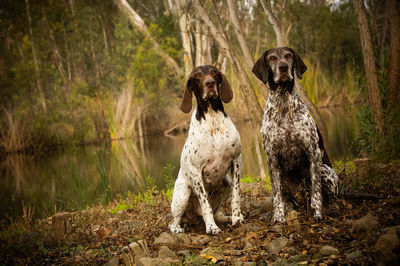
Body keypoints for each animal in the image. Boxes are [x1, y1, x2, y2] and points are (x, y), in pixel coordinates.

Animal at [170, 65, 244, 235]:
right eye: (196, 75)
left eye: (214, 72)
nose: (209, 83)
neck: (212, 118)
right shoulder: (196, 170)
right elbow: (205, 204)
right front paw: (211, 227)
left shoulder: (236, 160)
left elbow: (236, 195)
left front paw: (237, 218)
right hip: (183, 193)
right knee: (173, 221)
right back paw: (178, 229)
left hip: (226, 182)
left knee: (218, 212)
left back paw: (225, 218)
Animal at [252, 47, 340, 222]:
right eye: (272, 58)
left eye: (288, 55)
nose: (283, 67)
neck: (283, 104)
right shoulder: (272, 158)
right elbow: (277, 196)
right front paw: (278, 216)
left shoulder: (312, 152)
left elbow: (317, 192)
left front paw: (317, 214)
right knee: (288, 200)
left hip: (325, 170)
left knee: (332, 197)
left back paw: (331, 207)